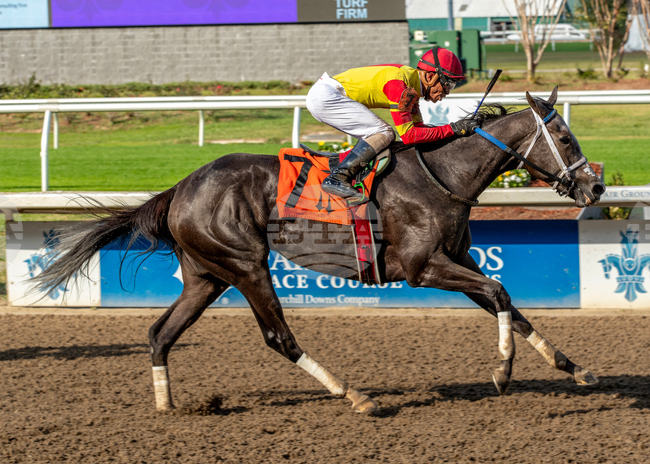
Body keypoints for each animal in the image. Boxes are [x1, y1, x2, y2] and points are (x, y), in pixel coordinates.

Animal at [33, 87, 605, 413]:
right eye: (565, 138)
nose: (595, 187)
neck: (442, 175)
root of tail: (180, 187)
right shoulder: (424, 268)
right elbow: (500, 292)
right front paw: (503, 373)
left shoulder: (457, 259)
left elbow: (509, 302)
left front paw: (574, 368)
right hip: (246, 264)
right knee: (278, 337)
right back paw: (355, 396)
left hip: (206, 275)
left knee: (159, 334)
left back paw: (166, 405)